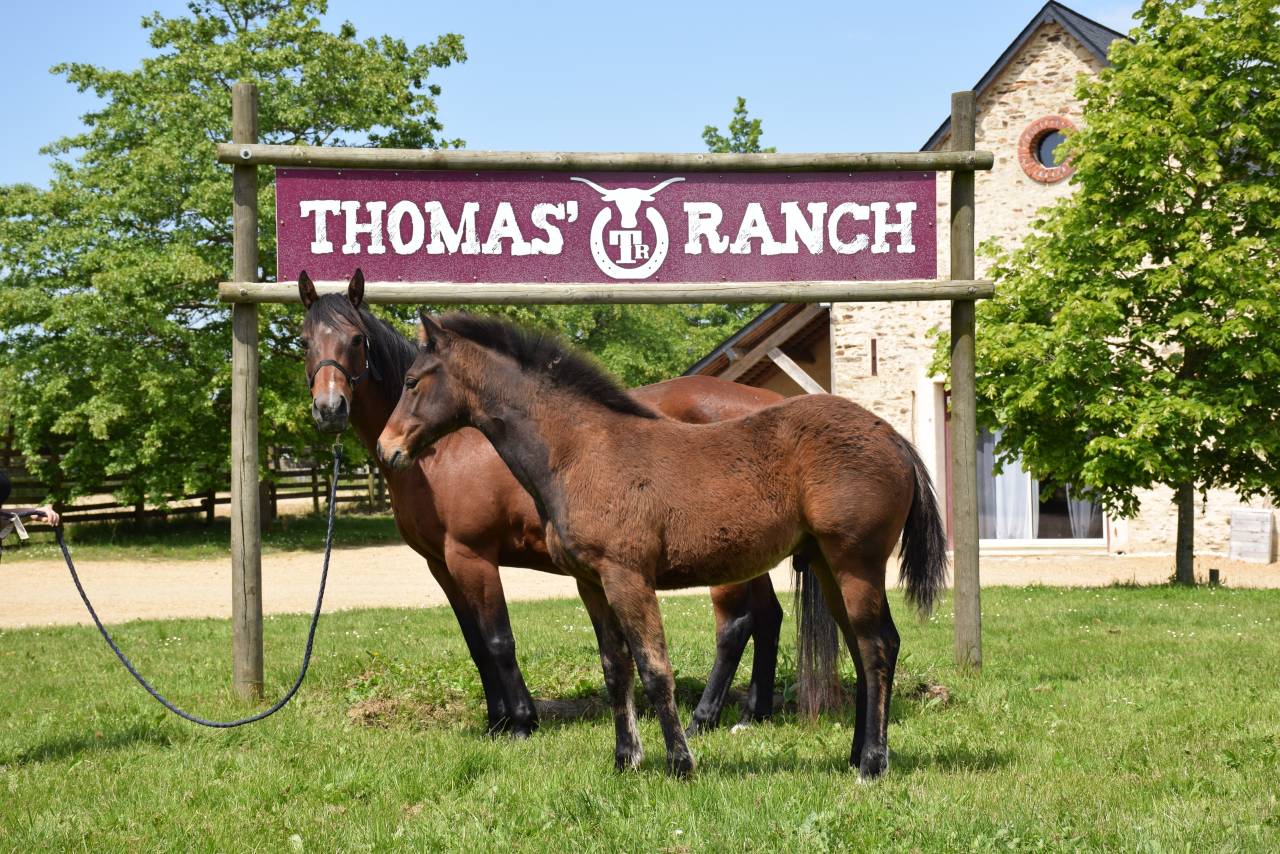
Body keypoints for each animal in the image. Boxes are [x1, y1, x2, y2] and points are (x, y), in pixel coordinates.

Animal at [299, 270, 806, 738]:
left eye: (357, 339)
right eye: (304, 340)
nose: (330, 409)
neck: (444, 452)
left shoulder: (471, 556)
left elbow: (498, 640)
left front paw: (522, 721)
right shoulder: (440, 564)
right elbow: (475, 643)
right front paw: (497, 720)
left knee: (735, 625)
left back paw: (704, 717)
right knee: (768, 618)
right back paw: (753, 713)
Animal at [377, 312, 948, 779]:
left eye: (411, 381)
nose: (388, 450)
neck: (580, 452)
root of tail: (892, 437)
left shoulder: (627, 576)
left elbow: (655, 669)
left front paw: (679, 763)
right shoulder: (591, 582)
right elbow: (616, 669)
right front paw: (625, 760)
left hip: (857, 562)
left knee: (877, 646)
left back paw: (871, 763)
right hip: (830, 566)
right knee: (861, 645)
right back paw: (856, 754)